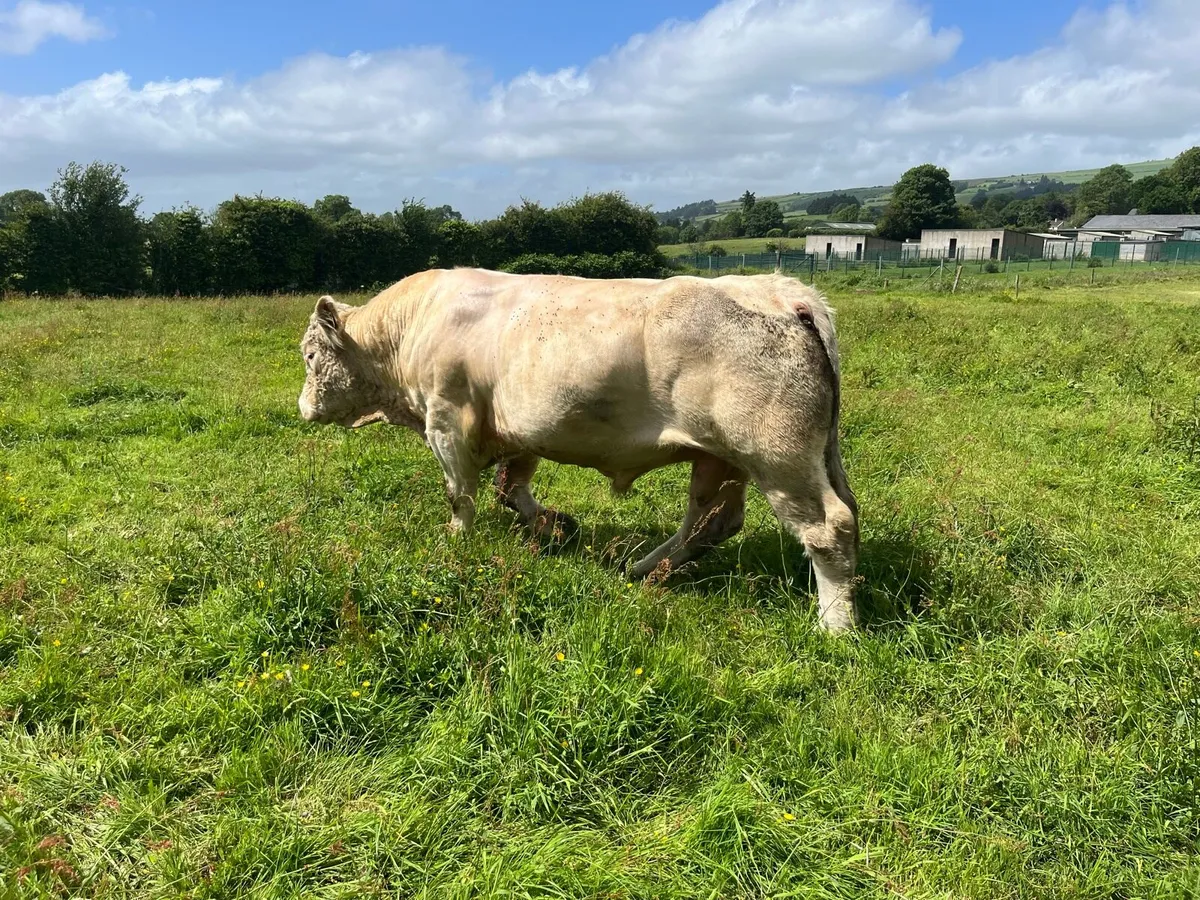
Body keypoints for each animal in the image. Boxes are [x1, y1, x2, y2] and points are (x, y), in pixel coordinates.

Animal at [297, 268, 860, 631]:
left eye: (308, 356)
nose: (302, 407)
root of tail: (784, 292)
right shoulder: (519, 427)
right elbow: (511, 486)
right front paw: (554, 525)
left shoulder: (447, 418)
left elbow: (462, 494)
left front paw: (455, 540)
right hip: (723, 456)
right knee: (712, 521)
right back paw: (644, 570)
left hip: (775, 454)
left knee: (828, 527)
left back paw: (836, 626)